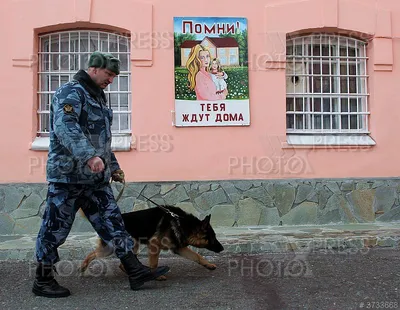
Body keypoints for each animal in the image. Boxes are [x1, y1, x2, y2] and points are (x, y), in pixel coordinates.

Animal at [80, 205, 225, 280]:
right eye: (213, 237)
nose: (222, 249)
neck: (182, 223)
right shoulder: (155, 245)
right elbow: (154, 263)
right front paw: (156, 275)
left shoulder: (179, 248)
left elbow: (197, 256)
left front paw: (208, 265)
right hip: (118, 247)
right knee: (92, 255)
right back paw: (83, 267)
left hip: (132, 246)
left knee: (121, 263)